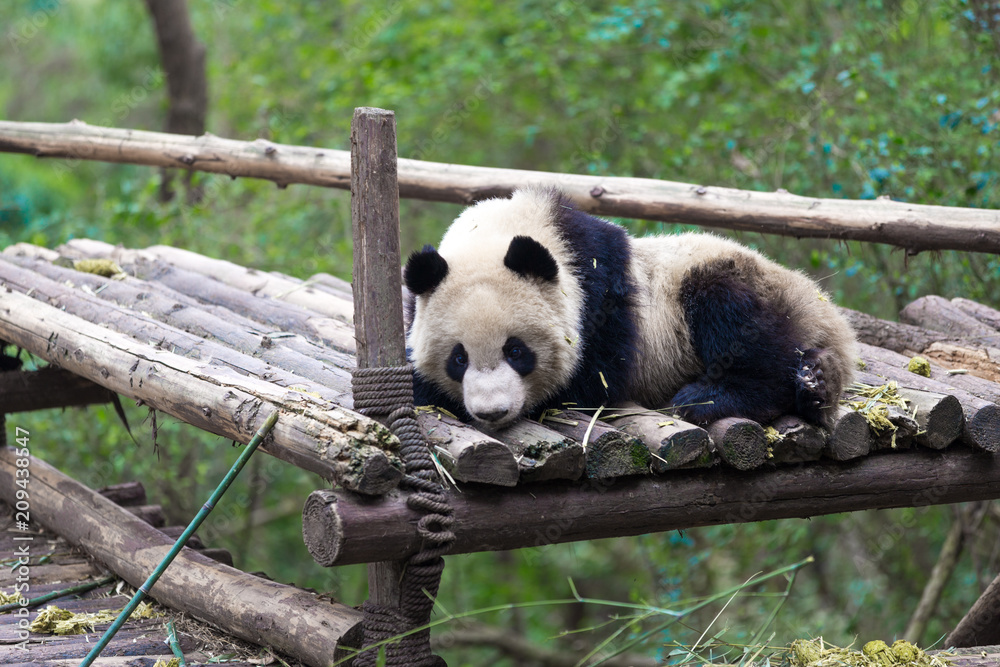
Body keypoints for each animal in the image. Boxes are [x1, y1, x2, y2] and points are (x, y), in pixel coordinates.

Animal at [402, 185, 856, 430]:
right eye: (458, 358)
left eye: (516, 351)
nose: (492, 411)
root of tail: (827, 313)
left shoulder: (599, 292)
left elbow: (595, 378)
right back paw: (818, 383)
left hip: (730, 279)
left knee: (740, 322)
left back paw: (711, 396)